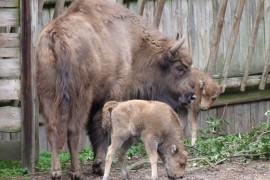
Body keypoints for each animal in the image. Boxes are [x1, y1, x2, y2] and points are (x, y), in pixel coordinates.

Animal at [36, 0, 194, 178]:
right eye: (179, 68)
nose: (191, 95)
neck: (132, 44)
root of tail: (56, 36)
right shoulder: (110, 93)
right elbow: (100, 128)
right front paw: (99, 165)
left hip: (47, 94)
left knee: (52, 128)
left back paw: (56, 171)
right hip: (79, 96)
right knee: (72, 130)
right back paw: (76, 172)